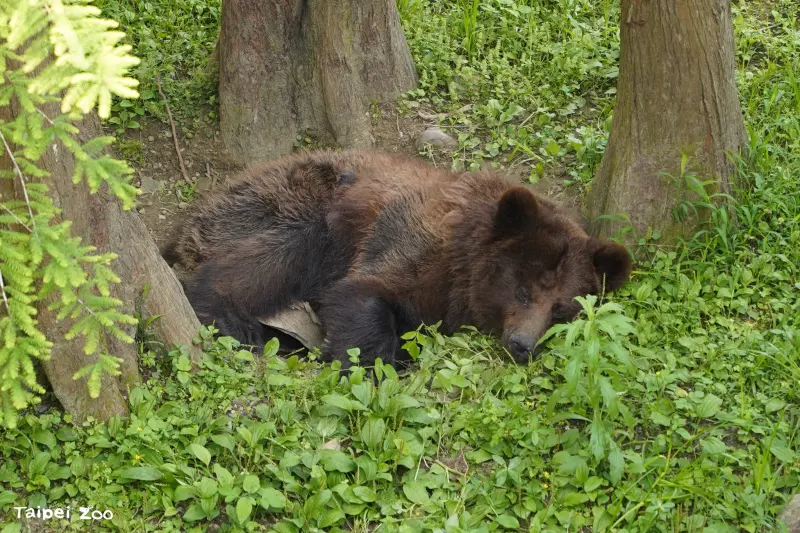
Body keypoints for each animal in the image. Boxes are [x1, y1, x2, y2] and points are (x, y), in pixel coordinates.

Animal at [163, 148, 633, 369]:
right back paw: (229, 319)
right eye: (523, 290)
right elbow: (361, 294)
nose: (523, 344)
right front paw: (366, 365)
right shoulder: (407, 244)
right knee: (266, 261)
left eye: (562, 309)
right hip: (292, 206)